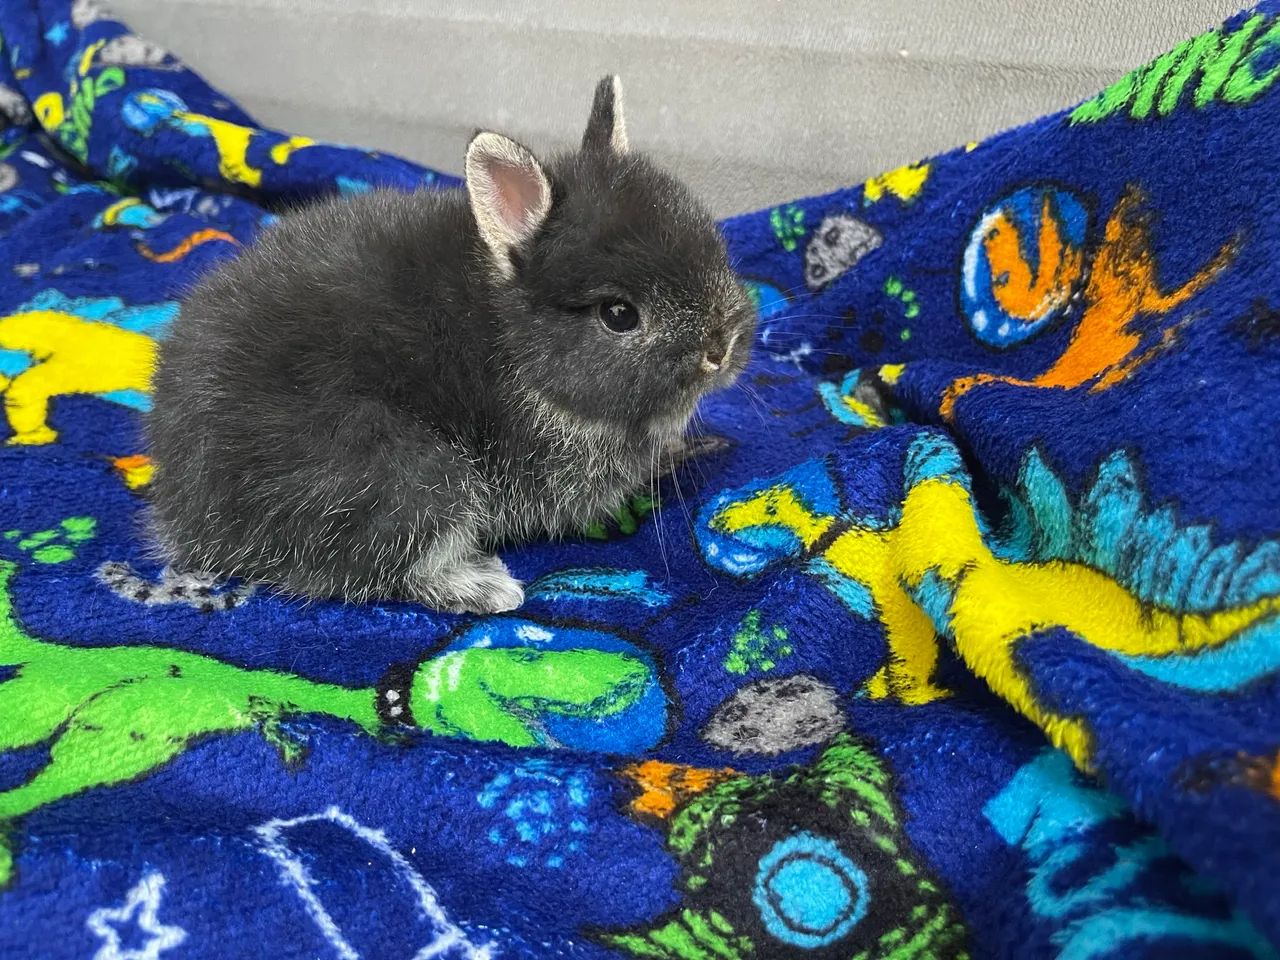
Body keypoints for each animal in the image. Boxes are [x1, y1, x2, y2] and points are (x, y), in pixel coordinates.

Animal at [145, 76, 757, 614]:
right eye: (619, 315)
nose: (721, 347)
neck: (513, 344)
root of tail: (183, 510)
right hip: (416, 477)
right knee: (380, 570)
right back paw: (487, 588)